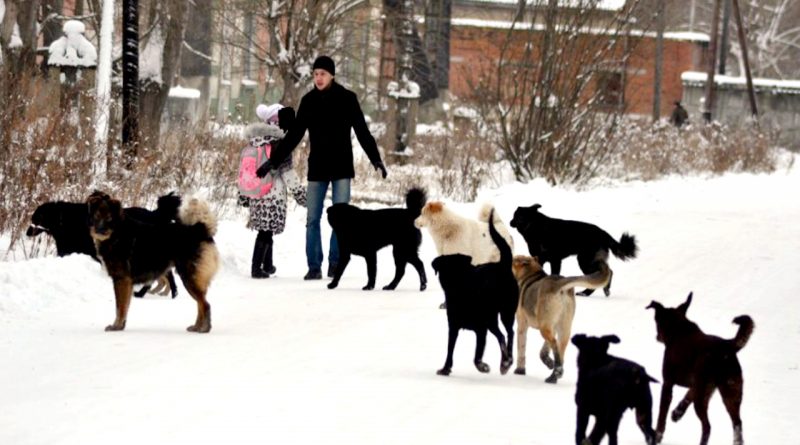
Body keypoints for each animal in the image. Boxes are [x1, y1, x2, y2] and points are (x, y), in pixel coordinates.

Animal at [87, 192, 220, 332]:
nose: (99, 230)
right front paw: (121, 326)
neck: (117, 233)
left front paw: (116, 326)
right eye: (96, 217)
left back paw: (203, 329)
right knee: (201, 304)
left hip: (189, 278)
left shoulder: (121, 279)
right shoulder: (126, 283)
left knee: (205, 304)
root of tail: (199, 229)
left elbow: (120, 308)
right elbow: (125, 307)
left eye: (109, 218)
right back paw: (197, 327)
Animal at [432, 211, 520, 374]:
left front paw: (482, 366)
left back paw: (506, 361)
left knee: (507, 334)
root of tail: (502, 265)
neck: (462, 289)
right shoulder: (454, 326)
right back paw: (507, 360)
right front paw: (446, 368)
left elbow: (477, 354)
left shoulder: (481, 328)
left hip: (503, 313)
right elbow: (450, 348)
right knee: (504, 335)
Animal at [512, 253, 612, 382]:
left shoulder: (522, 326)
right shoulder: (553, 327)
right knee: (560, 350)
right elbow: (543, 351)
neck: (530, 275)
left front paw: (520, 371)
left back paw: (556, 371)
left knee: (555, 345)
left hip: (545, 327)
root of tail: (559, 284)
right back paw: (555, 375)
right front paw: (549, 362)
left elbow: (521, 349)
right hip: (564, 328)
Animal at [648, 292, 752, 444]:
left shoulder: (668, 383)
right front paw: (677, 413)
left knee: (707, 426)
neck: (678, 328)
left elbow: (662, 415)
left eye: (657, 322)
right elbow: (687, 396)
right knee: (737, 423)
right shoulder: (700, 386)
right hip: (731, 392)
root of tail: (727, 346)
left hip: (703, 399)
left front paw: (657, 436)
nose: (657, 336)